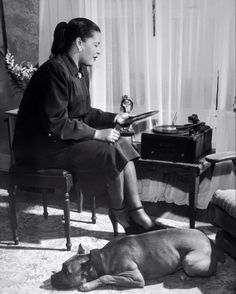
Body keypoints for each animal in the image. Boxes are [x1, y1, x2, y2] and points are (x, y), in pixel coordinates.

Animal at [50, 229, 224, 290]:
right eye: (62, 266)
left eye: (67, 272)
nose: (51, 278)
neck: (103, 258)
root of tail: (210, 240)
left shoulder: (136, 278)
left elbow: (106, 276)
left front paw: (88, 285)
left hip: (189, 261)